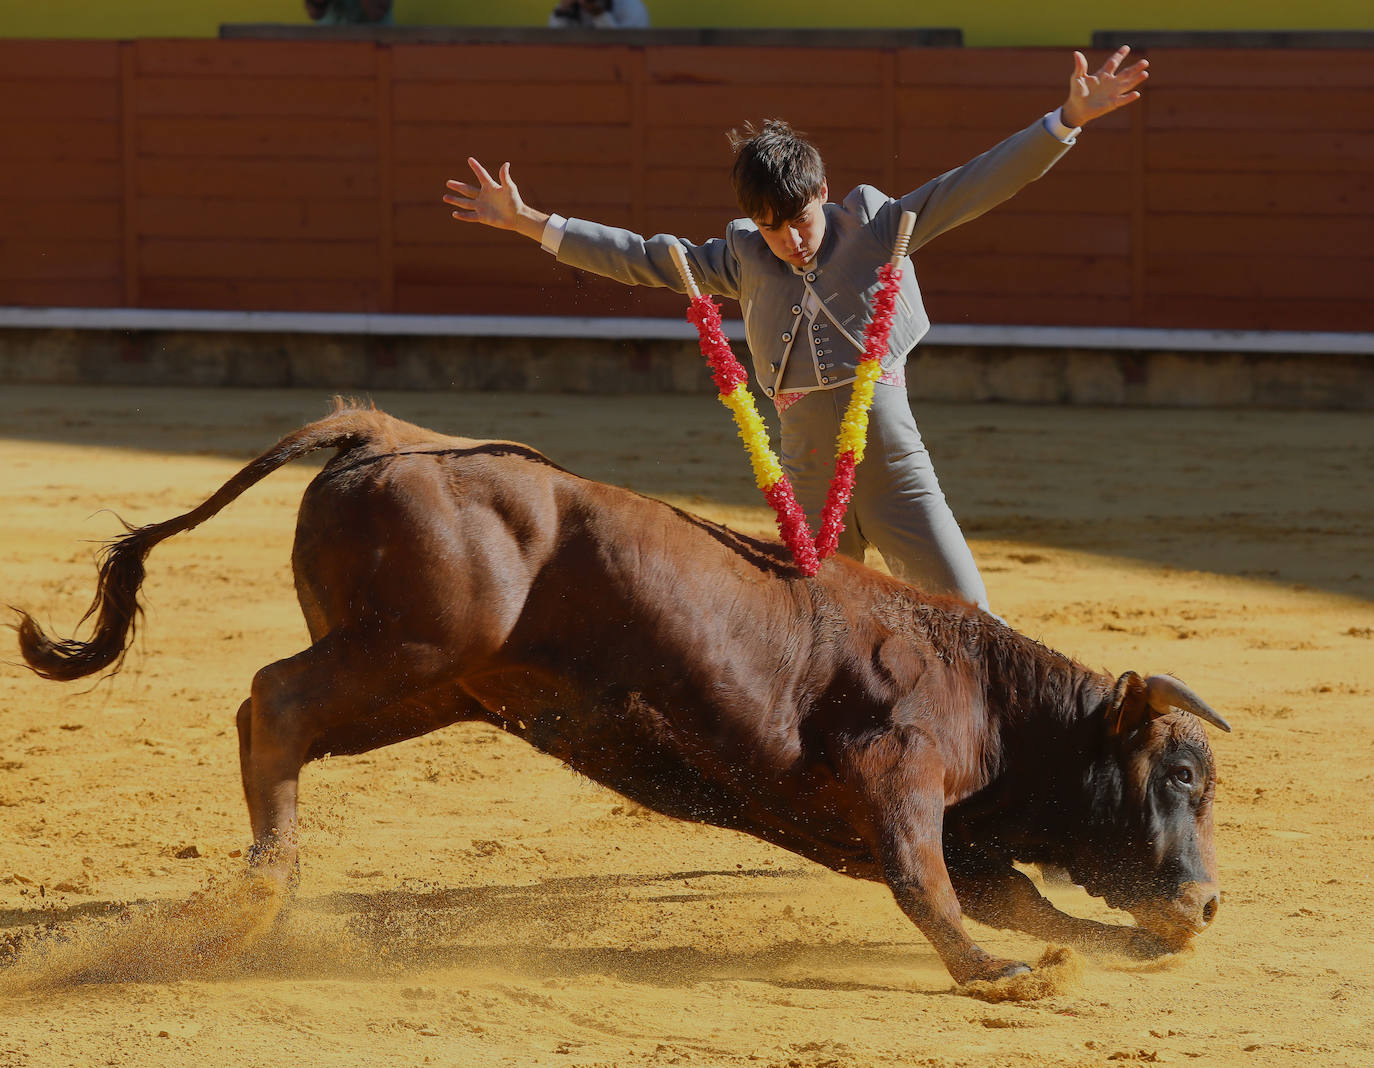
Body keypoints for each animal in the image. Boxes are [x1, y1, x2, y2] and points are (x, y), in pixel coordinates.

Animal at [16, 406, 1231, 984]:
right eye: (1178, 773)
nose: (1211, 903)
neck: (994, 694)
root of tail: (384, 435)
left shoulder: (923, 831)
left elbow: (1015, 896)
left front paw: (1102, 948)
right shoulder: (899, 772)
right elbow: (928, 885)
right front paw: (1001, 978)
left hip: (433, 685)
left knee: (283, 719)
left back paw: (254, 895)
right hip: (409, 650)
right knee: (270, 703)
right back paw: (260, 897)